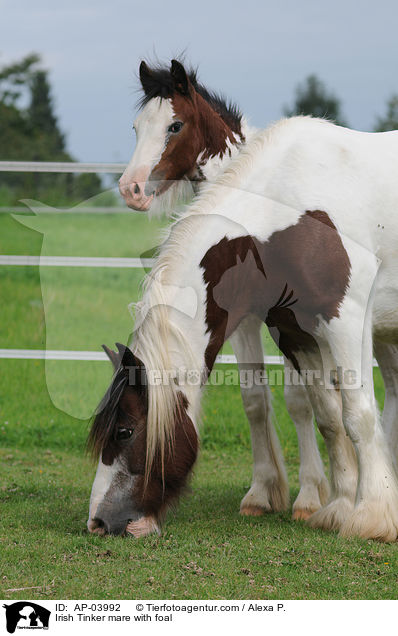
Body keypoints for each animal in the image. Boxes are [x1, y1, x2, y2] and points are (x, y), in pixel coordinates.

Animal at [88, 117, 398, 540]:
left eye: (125, 431)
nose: (98, 522)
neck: (282, 211)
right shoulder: (296, 332)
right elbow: (329, 417)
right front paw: (337, 508)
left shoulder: (345, 320)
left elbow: (358, 415)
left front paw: (371, 515)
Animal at [118, 57, 332, 520]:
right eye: (136, 126)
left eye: (175, 125)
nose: (131, 189)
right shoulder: (243, 322)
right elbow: (254, 400)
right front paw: (261, 493)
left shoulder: (286, 320)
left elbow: (298, 401)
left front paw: (309, 496)